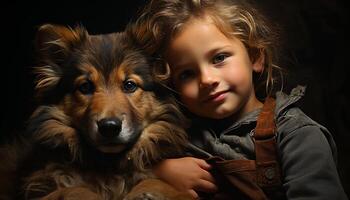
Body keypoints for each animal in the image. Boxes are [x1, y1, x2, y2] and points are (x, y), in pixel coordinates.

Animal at [0, 23, 191, 200]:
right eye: (85, 87)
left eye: (129, 85)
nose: (109, 127)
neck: (108, 164)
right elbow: (73, 188)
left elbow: (157, 182)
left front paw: (149, 191)